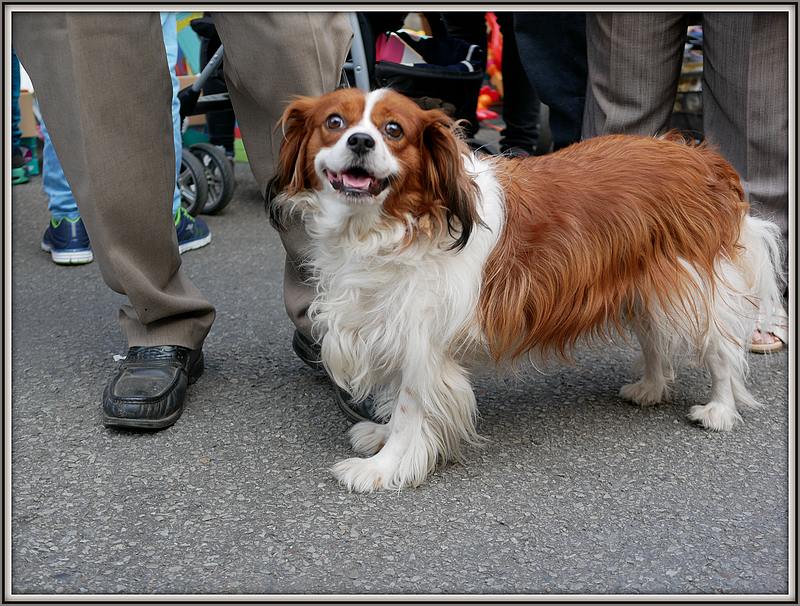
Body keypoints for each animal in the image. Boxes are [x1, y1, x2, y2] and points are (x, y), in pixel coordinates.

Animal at [272, 86, 784, 494]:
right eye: (334, 123)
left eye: (393, 130)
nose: (360, 141)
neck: (392, 225)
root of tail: (697, 154)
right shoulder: (391, 320)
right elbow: (396, 397)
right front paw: (380, 438)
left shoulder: (422, 339)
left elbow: (410, 407)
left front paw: (385, 466)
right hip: (642, 284)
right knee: (654, 338)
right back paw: (651, 387)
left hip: (694, 287)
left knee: (721, 351)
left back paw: (719, 409)